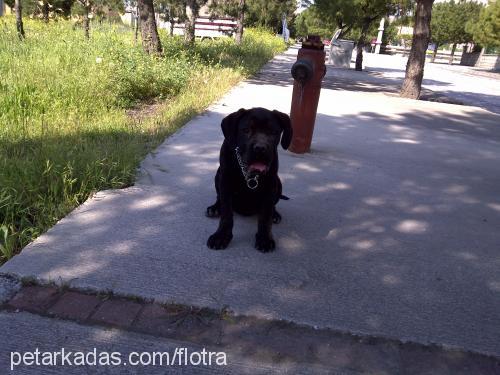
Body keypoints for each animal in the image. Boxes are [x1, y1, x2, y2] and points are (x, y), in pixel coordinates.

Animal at [206, 107, 292, 253]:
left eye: (273, 132)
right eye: (246, 130)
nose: (260, 148)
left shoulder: (270, 185)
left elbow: (265, 216)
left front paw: (264, 238)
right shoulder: (225, 181)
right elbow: (226, 213)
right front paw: (221, 236)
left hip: (278, 183)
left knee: (273, 206)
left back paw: (275, 215)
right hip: (218, 175)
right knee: (219, 198)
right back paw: (215, 208)